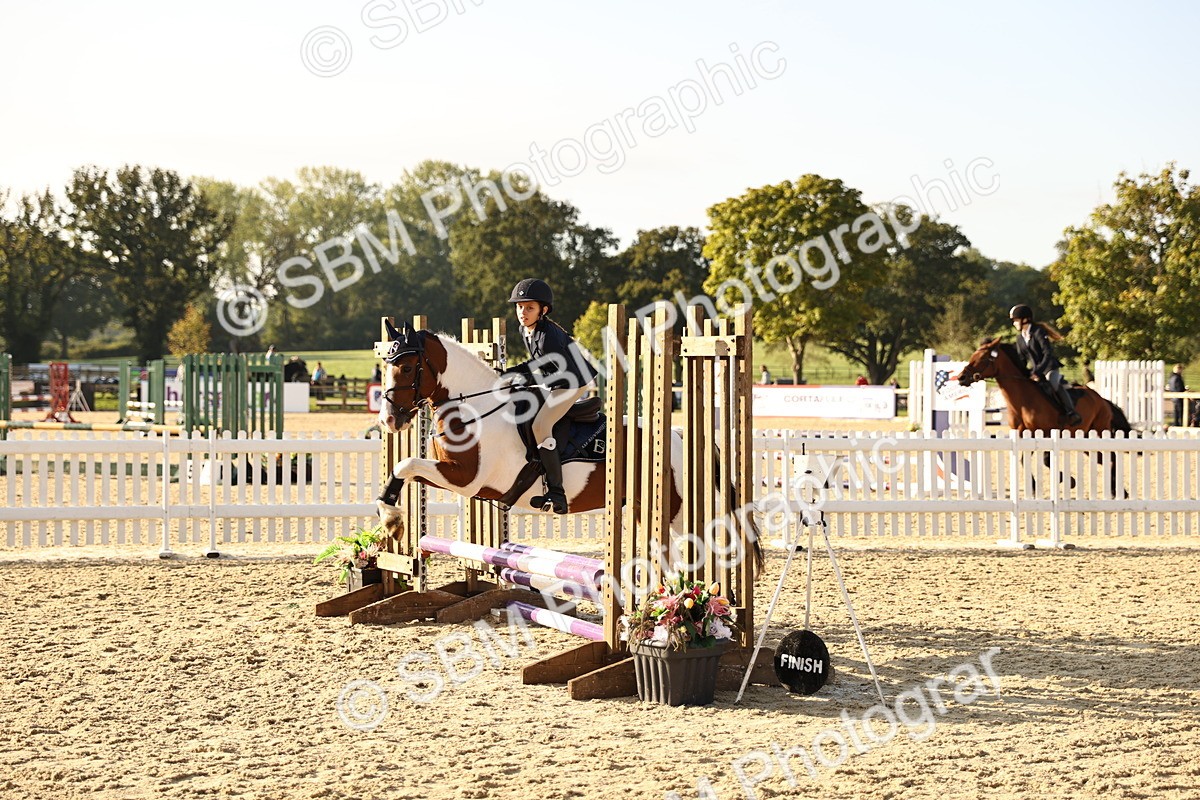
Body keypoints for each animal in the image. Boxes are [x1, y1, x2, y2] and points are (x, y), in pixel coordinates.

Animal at [375, 320, 763, 573]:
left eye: (407, 367)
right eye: (386, 365)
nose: (389, 420)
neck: (475, 408)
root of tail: (682, 436)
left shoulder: (466, 479)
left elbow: (406, 464)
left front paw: (392, 521)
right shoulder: (452, 476)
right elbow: (403, 468)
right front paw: (391, 519)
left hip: (677, 510)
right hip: (646, 508)